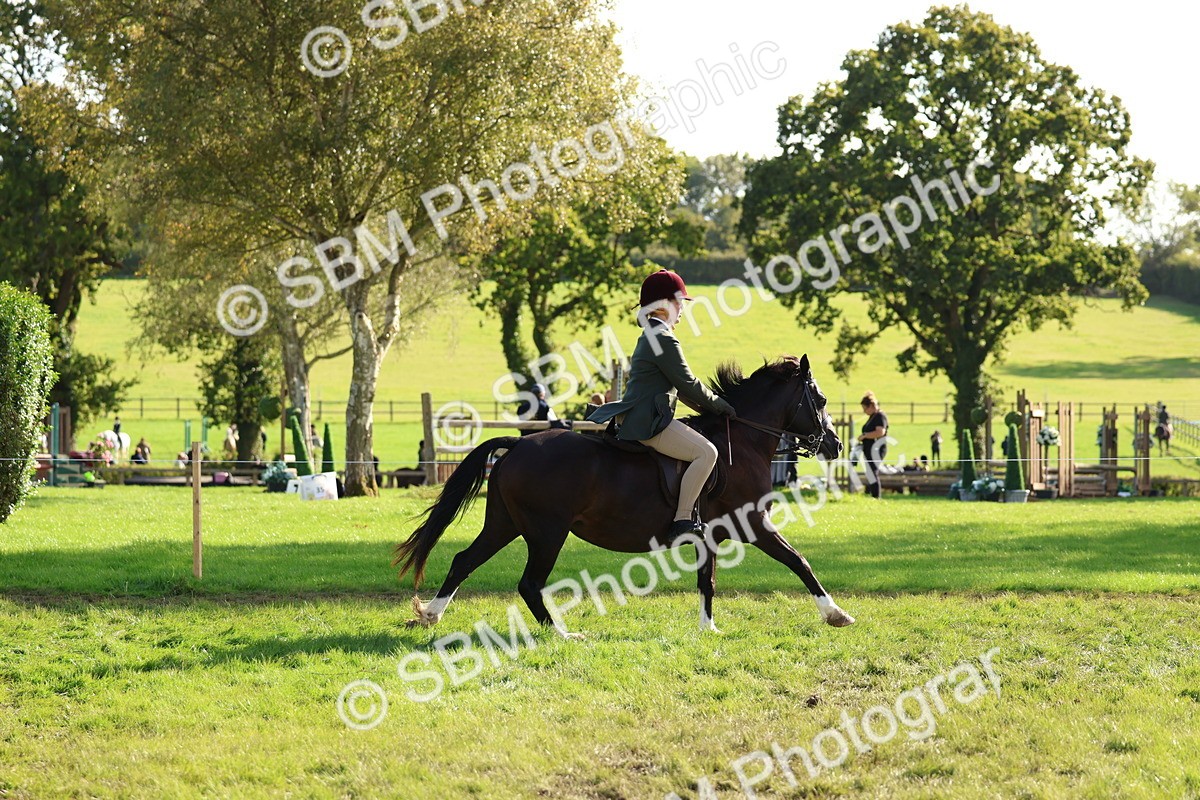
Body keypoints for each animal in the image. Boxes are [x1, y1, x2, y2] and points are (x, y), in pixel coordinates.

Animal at [392, 354, 855, 637]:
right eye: (820, 399)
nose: (834, 444)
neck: (741, 442)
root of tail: (519, 445)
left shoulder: (711, 536)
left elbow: (707, 581)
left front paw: (708, 629)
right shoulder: (755, 524)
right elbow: (799, 561)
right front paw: (835, 614)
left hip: (505, 525)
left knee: (463, 561)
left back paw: (430, 615)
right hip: (547, 533)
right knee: (529, 583)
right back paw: (563, 634)